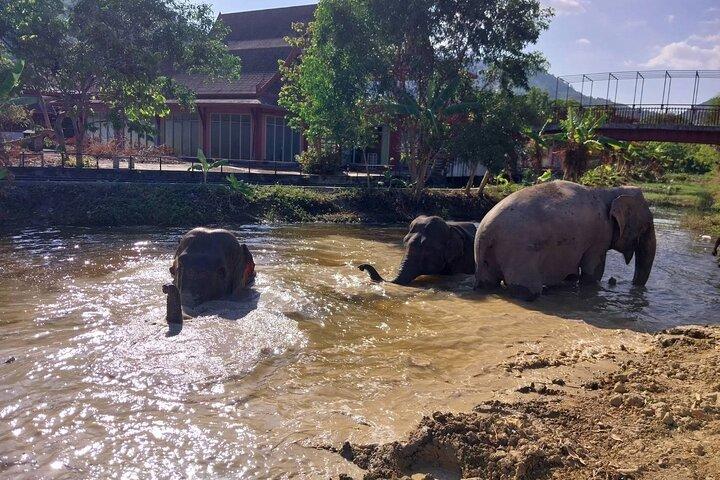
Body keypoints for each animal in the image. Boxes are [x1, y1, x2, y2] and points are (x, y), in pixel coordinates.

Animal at [474, 181, 656, 301]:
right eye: (647, 226)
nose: (633, 287)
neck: (609, 191)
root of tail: (485, 231)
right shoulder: (600, 235)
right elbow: (593, 271)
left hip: (488, 257)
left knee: (487, 283)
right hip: (519, 252)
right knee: (528, 290)